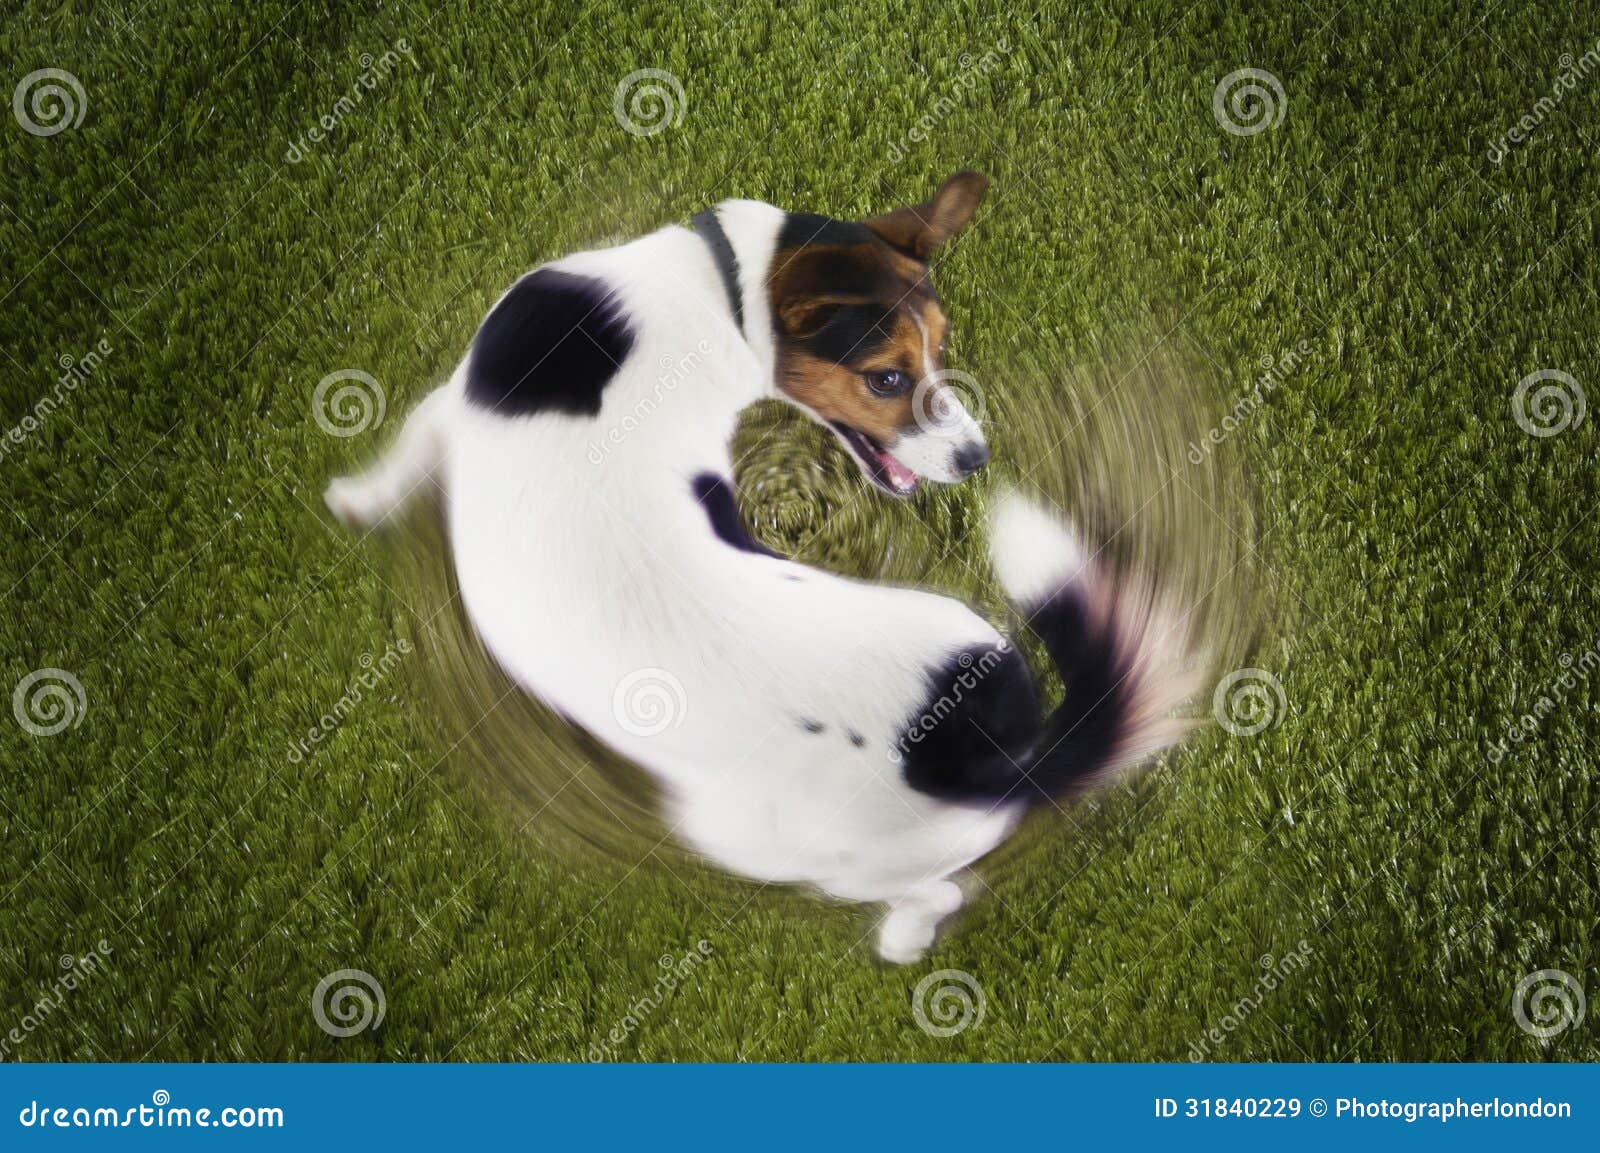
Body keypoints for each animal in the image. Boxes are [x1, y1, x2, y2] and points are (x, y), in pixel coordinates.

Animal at [328, 173, 1203, 959]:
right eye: (889, 375)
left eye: (940, 354)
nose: (976, 457)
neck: (715, 291)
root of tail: (988, 757)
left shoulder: (448, 403)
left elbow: (400, 457)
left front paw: (351, 501)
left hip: (759, 839)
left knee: (935, 892)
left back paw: (900, 940)